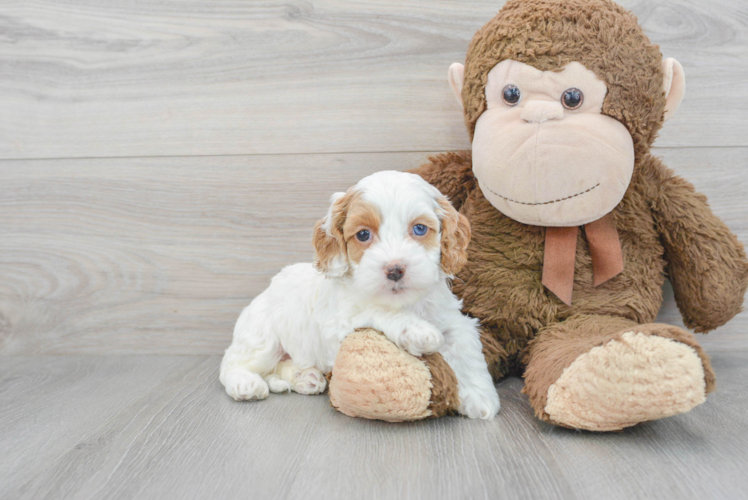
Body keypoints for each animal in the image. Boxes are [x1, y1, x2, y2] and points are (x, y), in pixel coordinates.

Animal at [219, 171, 500, 418]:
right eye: (363, 234)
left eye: (420, 229)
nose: (395, 269)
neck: (403, 302)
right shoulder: (340, 323)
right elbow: (376, 310)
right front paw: (417, 330)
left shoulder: (451, 318)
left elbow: (467, 347)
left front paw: (479, 397)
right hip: (262, 339)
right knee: (231, 364)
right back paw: (245, 384)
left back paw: (306, 378)